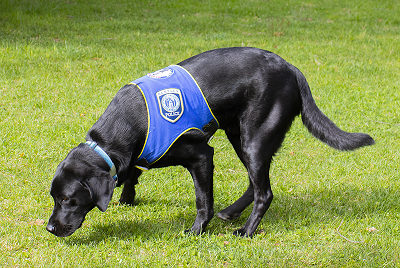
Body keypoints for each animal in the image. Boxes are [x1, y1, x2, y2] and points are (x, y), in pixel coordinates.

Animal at [47, 47, 376, 238]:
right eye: (53, 198)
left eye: (67, 200)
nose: (49, 228)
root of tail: (291, 69)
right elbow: (132, 174)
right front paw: (127, 197)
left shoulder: (202, 156)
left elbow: (202, 200)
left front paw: (196, 231)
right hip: (239, 135)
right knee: (255, 183)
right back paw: (231, 212)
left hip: (253, 138)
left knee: (265, 192)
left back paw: (246, 230)